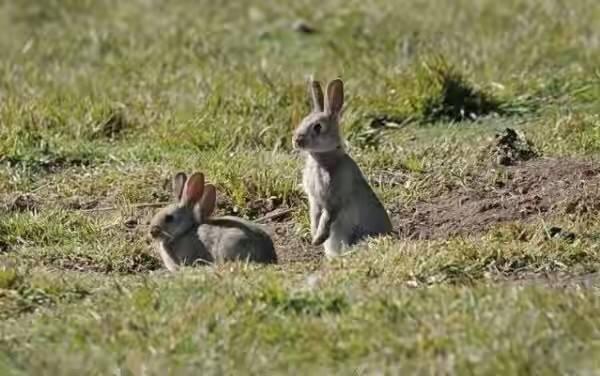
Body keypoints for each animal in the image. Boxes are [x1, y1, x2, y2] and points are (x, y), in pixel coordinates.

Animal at [292, 77, 394, 258]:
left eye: (318, 127)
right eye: (303, 120)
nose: (296, 140)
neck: (322, 160)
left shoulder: (334, 197)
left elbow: (327, 217)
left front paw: (318, 239)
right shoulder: (314, 199)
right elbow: (314, 215)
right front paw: (314, 236)